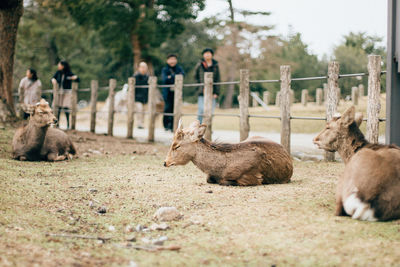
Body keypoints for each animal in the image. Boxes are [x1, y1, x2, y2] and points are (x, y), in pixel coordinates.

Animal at [163, 121, 294, 186]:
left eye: (176, 146)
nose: (165, 162)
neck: (220, 168)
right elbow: (209, 179)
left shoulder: (252, 177)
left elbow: (224, 181)